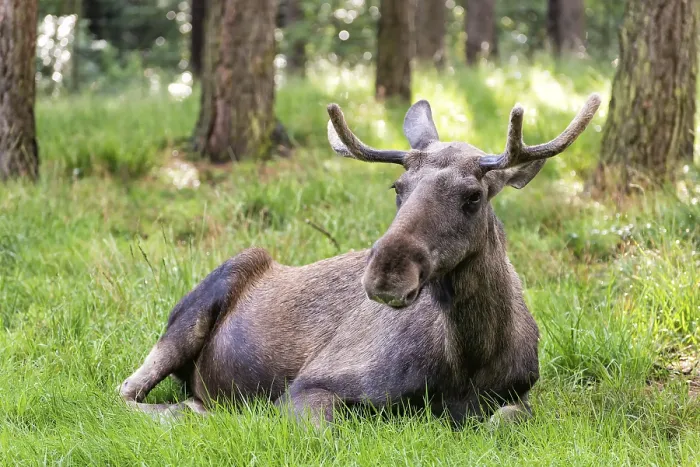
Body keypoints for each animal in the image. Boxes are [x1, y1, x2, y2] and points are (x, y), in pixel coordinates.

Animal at [119, 93, 601, 427]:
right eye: (398, 187)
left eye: (473, 196)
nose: (387, 271)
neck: (470, 361)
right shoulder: (311, 384)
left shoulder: (518, 394)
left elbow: (504, 422)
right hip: (191, 313)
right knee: (127, 393)